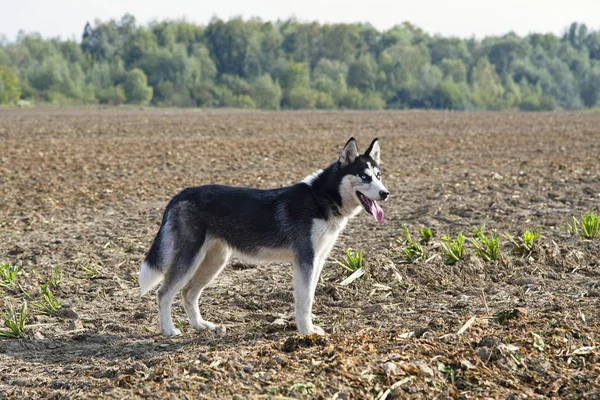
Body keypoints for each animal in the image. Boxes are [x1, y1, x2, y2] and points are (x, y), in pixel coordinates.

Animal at [140, 137, 392, 334]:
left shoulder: (317, 261)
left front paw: (310, 327)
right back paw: (169, 330)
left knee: (188, 293)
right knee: (164, 293)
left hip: (214, 261)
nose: (385, 193)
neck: (322, 197)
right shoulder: (305, 261)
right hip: (190, 259)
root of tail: (180, 194)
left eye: (378, 175)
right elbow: (304, 302)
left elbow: (309, 298)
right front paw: (306, 332)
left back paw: (200, 325)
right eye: (364, 177)